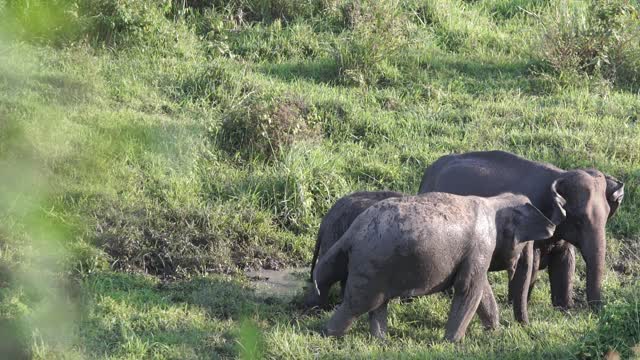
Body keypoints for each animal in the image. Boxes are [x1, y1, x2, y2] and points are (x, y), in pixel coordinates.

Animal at [316, 193, 560, 342]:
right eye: (527, 244)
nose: (524, 327)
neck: (494, 201)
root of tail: (351, 234)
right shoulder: (480, 246)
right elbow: (468, 288)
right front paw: (453, 342)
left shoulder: (475, 253)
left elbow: (482, 290)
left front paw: (493, 331)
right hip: (371, 267)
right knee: (357, 304)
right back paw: (330, 334)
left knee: (375, 303)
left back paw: (381, 341)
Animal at [420, 149, 624, 316]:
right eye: (579, 220)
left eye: (607, 216)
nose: (597, 312)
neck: (559, 175)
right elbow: (531, 264)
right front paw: (515, 304)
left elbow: (566, 262)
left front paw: (564, 310)